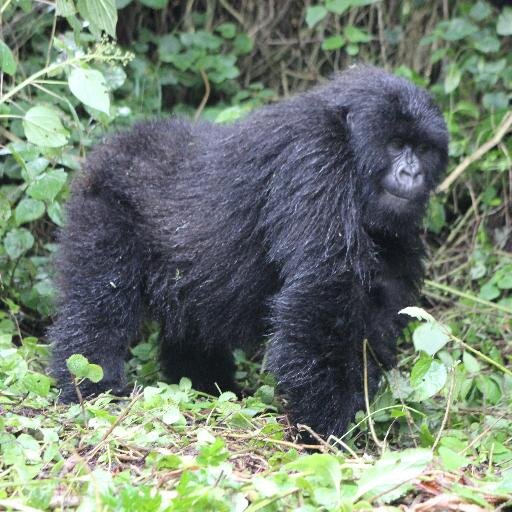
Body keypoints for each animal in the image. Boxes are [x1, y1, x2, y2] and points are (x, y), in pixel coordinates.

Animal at [49, 66, 448, 438]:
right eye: (396, 144)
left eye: (423, 149)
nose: (412, 174)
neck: (346, 136)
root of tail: (112, 146)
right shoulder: (316, 160)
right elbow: (322, 292)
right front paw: (323, 425)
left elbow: (377, 307)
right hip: (103, 208)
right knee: (99, 303)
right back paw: (91, 387)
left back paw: (205, 383)